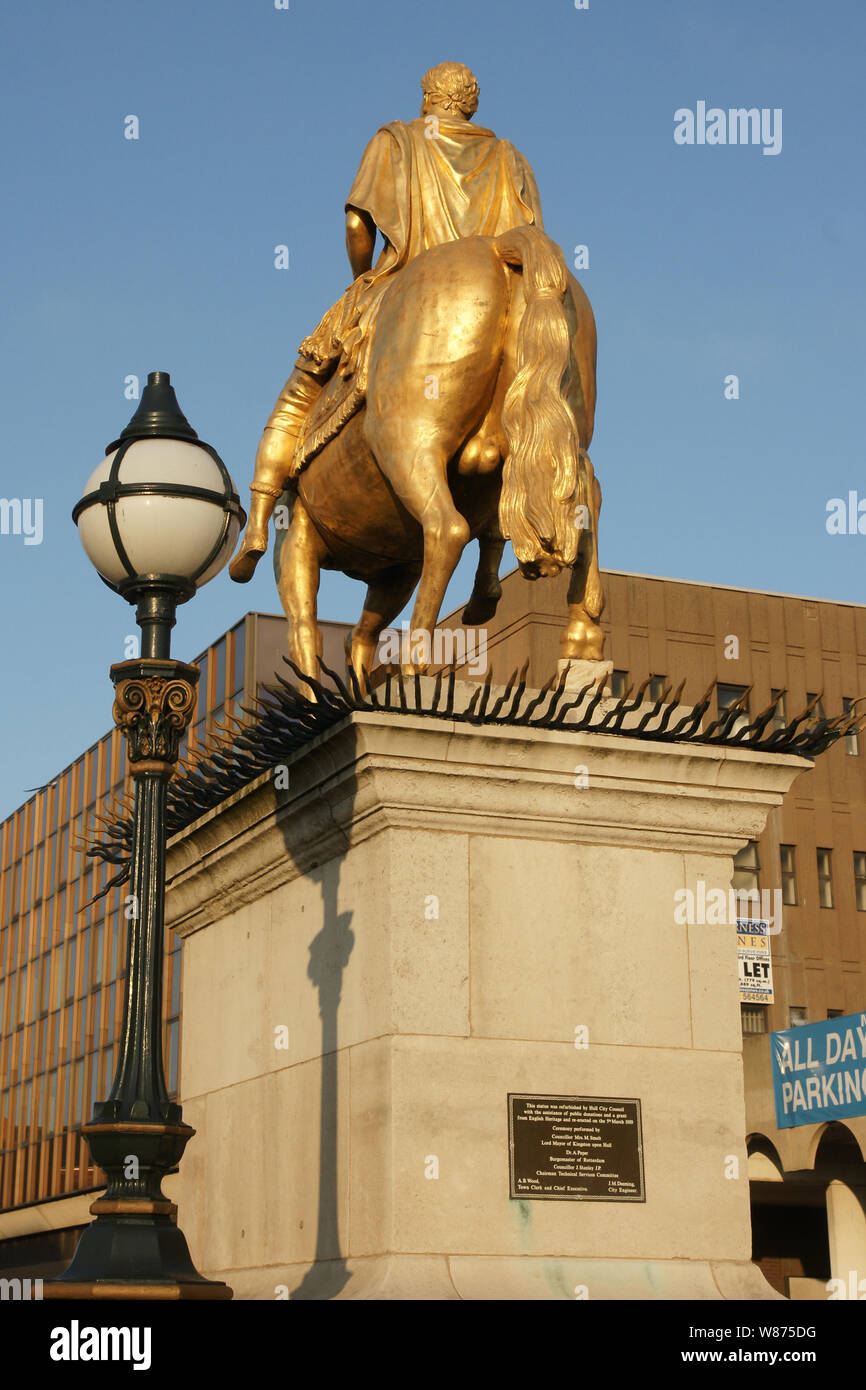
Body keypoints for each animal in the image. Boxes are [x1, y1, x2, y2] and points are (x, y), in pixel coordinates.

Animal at [271, 225, 603, 692]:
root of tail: (496, 245)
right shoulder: (396, 570)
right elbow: (361, 632)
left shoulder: (296, 537)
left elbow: (305, 629)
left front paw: (319, 697)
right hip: (564, 429)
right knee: (585, 495)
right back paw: (580, 635)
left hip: (409, 438)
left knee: (447, 529)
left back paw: (416, 661)